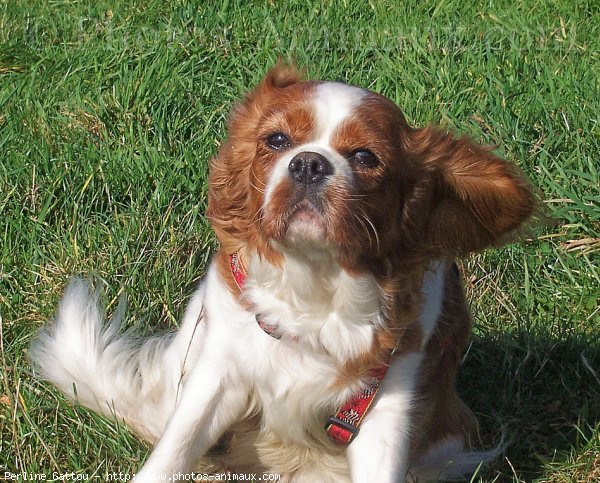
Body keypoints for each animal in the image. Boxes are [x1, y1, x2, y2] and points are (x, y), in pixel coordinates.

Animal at [30, 65, 532, 483]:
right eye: (275, 141)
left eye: (365, 157)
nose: (309, 163)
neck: (313, 279)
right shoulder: (218, 372)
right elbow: (175, 448)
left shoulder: (386, 404)